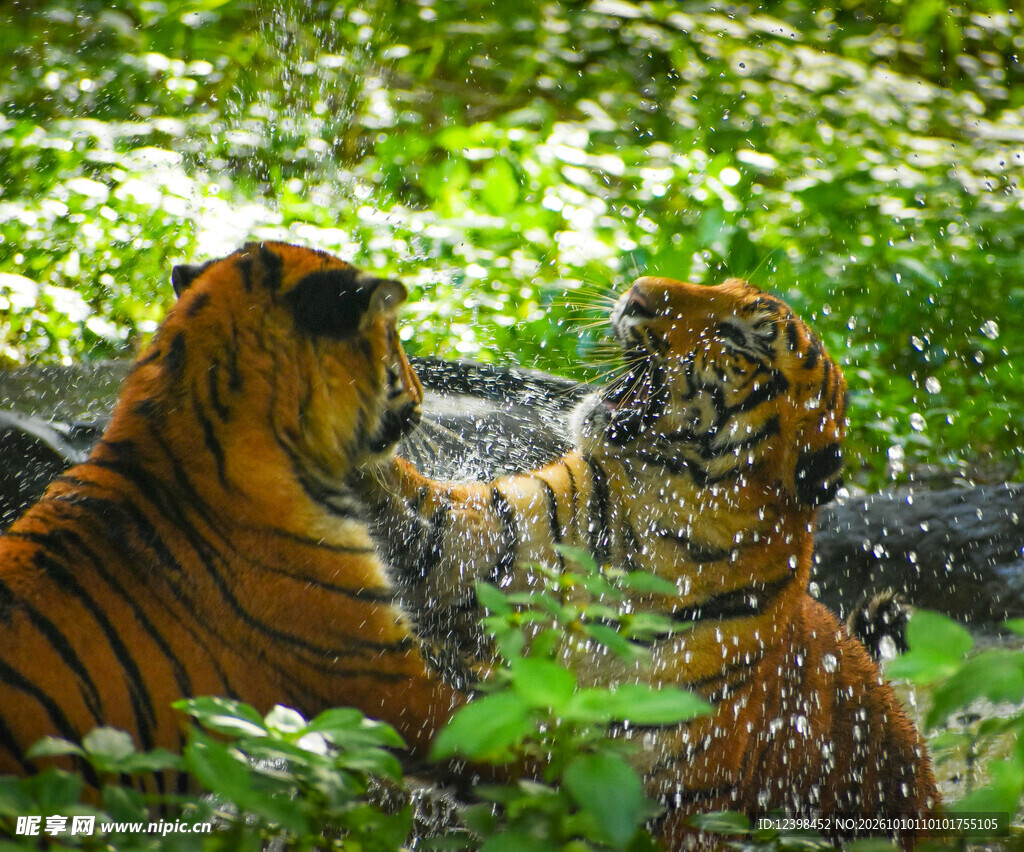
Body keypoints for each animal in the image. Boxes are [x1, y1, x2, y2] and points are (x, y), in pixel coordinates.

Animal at [365, 276, 939, 846]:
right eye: (721, 283)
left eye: (741, 338)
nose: (637, 293)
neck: (637, 530)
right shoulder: (481, 537)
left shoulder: (676, 805)